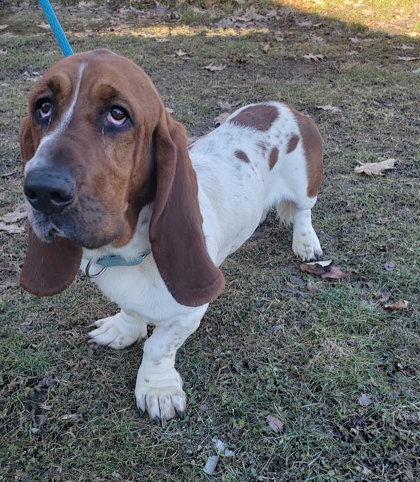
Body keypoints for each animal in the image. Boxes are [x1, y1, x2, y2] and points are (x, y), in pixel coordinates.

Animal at [19, 49, 324, 426]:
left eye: (118, 114)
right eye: (43, 107)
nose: (42, 190)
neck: (127, 251)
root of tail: (287, 108)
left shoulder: (188, 314)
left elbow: (158, 347)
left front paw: (157, 391)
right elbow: (131, 312)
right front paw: (122, 330)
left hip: (305, 186)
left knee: (304, 212)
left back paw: (306, 243)